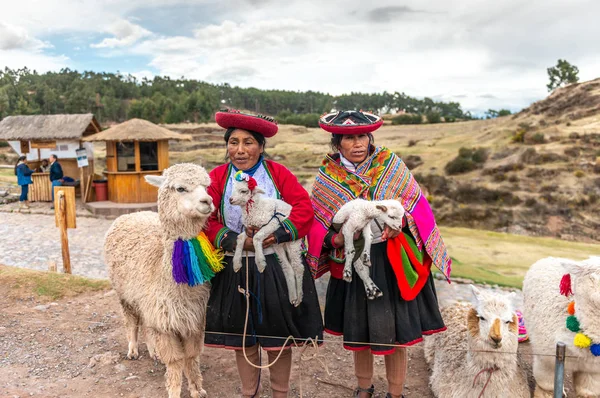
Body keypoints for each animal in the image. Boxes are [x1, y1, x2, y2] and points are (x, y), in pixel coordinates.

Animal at [104, 162, 219, 398]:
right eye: (180, 188)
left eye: (206, 186)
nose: (207, 202)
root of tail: (133, 214)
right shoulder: (166, 321)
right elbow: (175, 362)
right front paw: (175, 391)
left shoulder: (193, 319)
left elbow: (191, 357)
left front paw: (197, 389)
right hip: (124, 294)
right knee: (132, 321)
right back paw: (132, 350)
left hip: (145, 301)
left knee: (146, 324)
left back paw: (153, 352)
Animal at [230, 173, 304, 306]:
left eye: (243, 191)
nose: (230, 199)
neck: (256, 209)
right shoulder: (250, 228)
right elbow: (240, 238)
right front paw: (237, 263)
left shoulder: (273, 223)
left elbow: (257, 238)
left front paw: (260, 263)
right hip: (278, 246)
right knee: (287, 268)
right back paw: (293, 297)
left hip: (293, 241)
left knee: (298, 267)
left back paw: (299, 298)